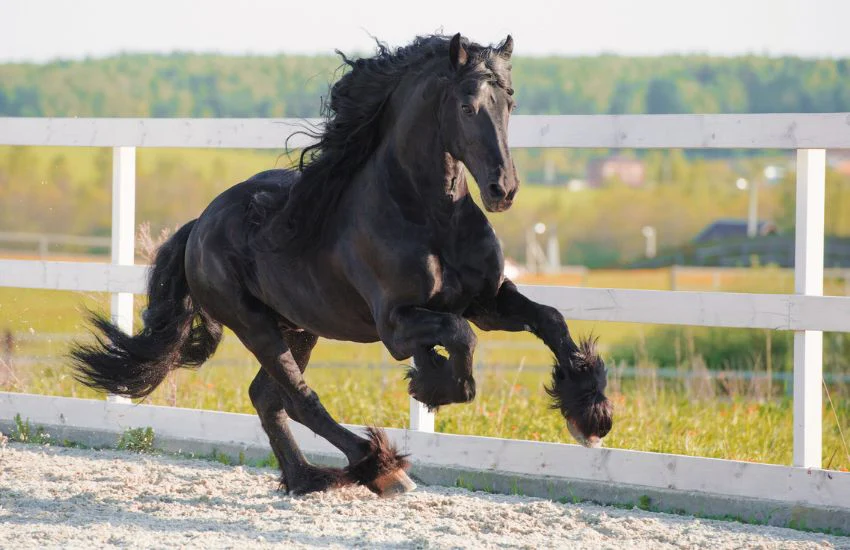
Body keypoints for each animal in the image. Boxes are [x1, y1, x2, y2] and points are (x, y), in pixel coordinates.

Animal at [71, 33, 613, 497]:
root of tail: (198, 225)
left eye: (510, 103)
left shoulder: (486, 300)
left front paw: (590, 414)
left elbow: (549, 320)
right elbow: (460, 339)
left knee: (267, 397)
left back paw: (307, 479)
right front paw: (431, 383)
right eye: (466, 105)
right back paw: (379, 467)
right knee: (297, 398)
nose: (503, 190)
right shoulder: (396, 324)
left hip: (299, 327)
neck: (429, 216)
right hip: (254, 324)